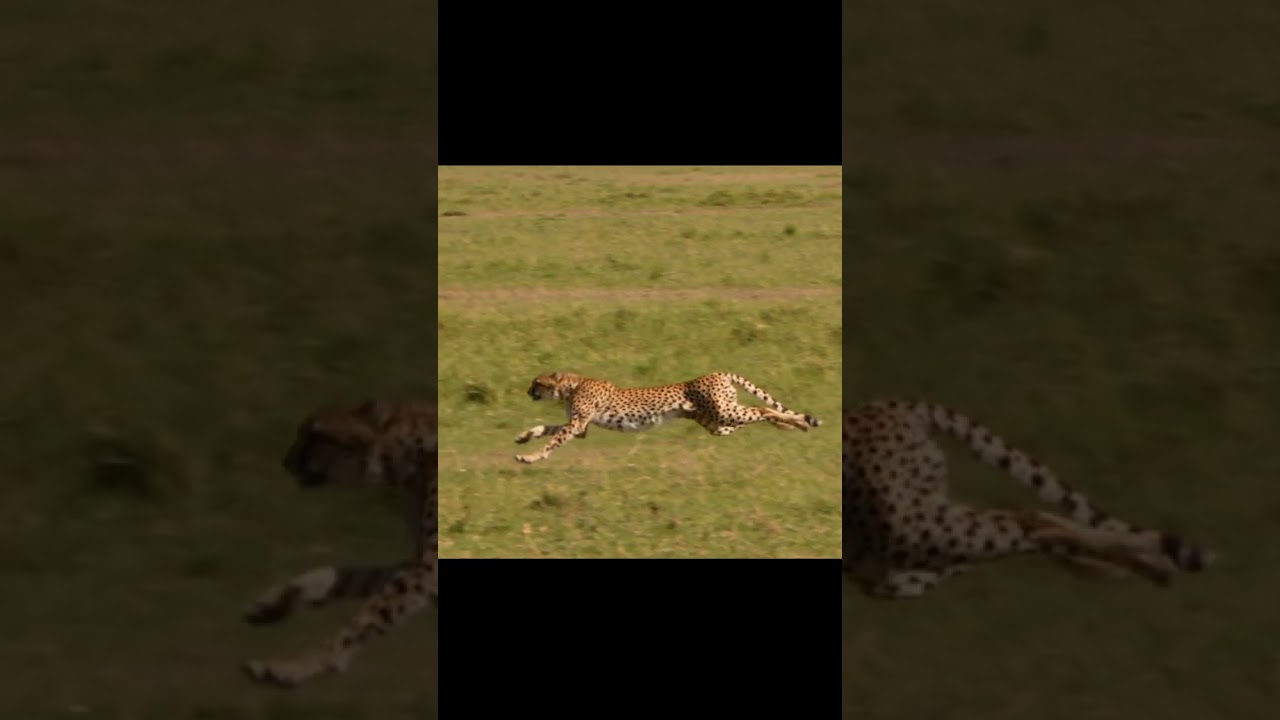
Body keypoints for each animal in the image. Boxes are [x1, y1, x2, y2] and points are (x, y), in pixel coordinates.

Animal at [240, 400, 438, 688]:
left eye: (316, 434)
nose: (285, 462)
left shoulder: (430, 567)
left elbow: (365, 618)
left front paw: (299, 665)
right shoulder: (423, 562)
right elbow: (345, 575)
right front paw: (279, 599)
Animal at [513, 371, 821, 464]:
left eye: (536, 382)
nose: (527, 391)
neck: (571, 385)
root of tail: (718, 373)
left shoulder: (577, 424)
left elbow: (553, 440)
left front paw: (531, 457)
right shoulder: (581, 427)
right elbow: (546, 429)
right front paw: (524, 437)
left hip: (725, 412)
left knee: (762, 410)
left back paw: (797, 423)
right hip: (719, 423)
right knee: (761, 414)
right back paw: (795, 425)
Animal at [842, 399, 1216, 598]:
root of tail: (887, 405)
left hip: (910, 530)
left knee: (1025, 519)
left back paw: (1144, 558)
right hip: (902, 559)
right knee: (1016, 530)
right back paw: (1144, 566)